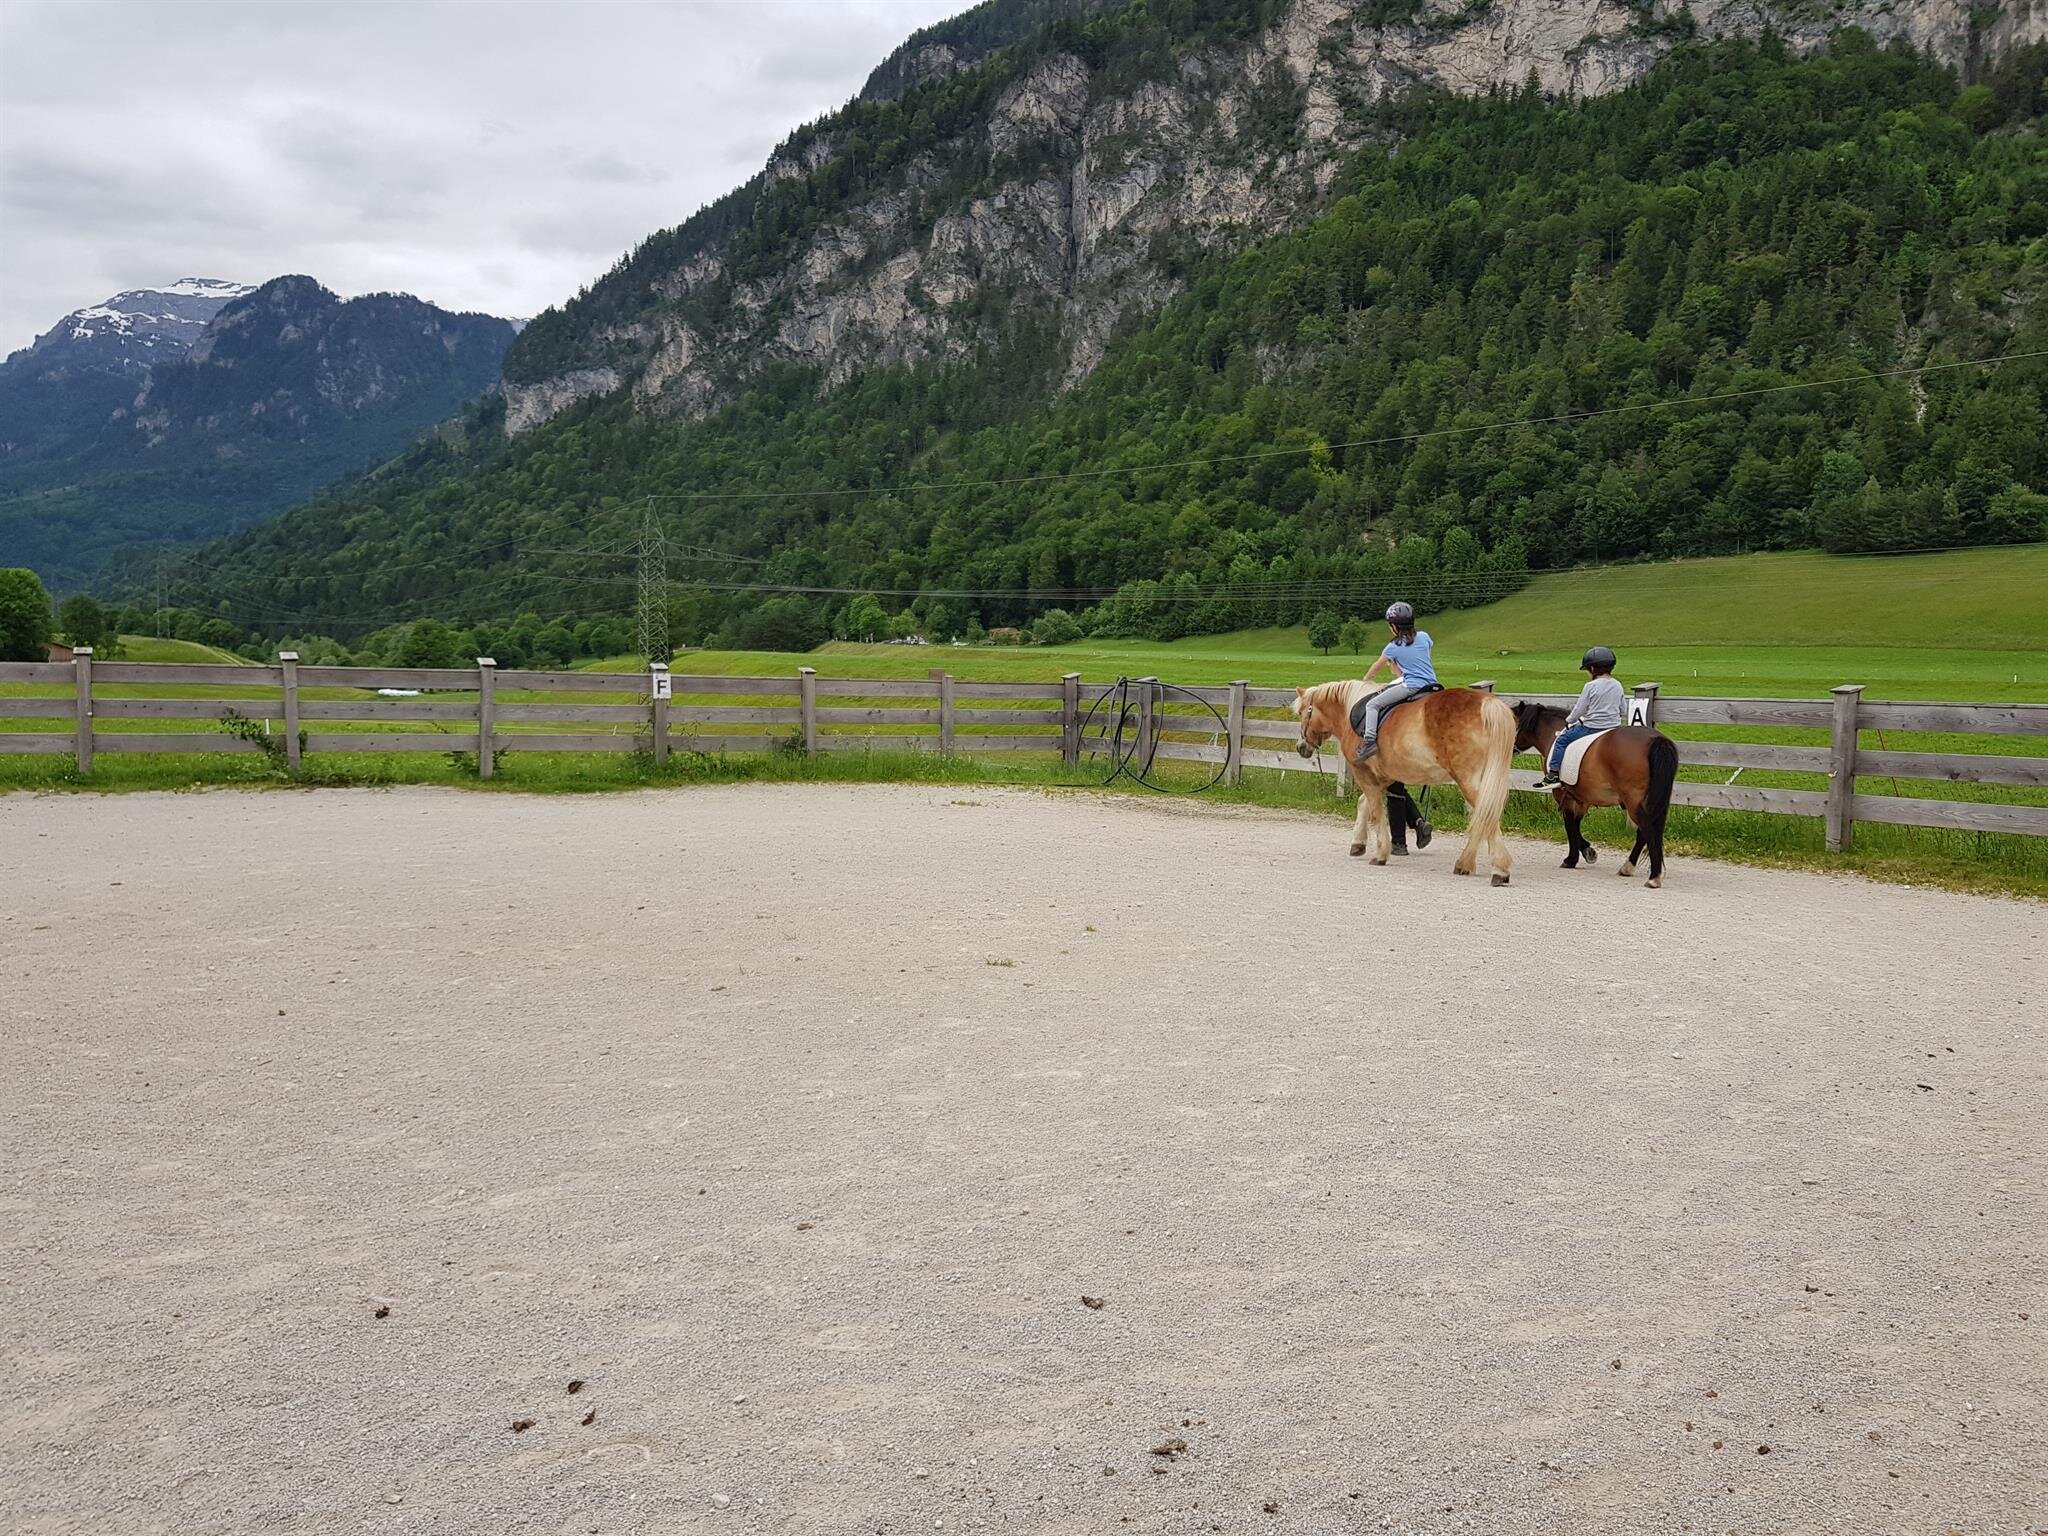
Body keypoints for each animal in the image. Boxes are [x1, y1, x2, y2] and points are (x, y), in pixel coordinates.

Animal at [1294, 679, 1523, 884]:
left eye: (1303, 712)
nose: (1300, 747)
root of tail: (1488, 703)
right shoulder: (1384, 777)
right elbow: (1364, 803)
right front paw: (1358, 843)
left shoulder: (1364, 774)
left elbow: (1376, 812)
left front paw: (1380, 854)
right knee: (1481, 817)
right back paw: (1465, 864)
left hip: (1469, 781)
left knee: (1487, 816)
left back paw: (1499, 870)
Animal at [1507, 700, 1679, 884]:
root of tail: (1655, 739)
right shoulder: (1582, 798)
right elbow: (1575, 824)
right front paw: (1587, 851)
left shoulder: (1564, 795)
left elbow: (1569, 825)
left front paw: (1572, 859)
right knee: (1644, 833)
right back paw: (1628, 867)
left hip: (1634, 801)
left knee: (1647, 831)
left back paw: (1653, 877)